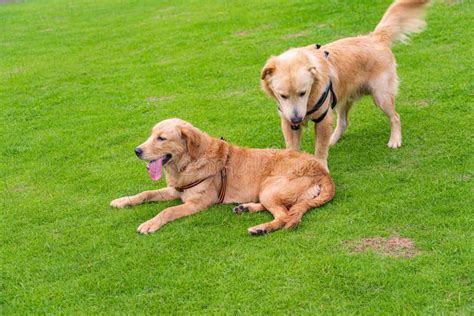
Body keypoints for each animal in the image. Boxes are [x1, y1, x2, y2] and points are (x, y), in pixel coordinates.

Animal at [111, 118, 336, 235]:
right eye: (151, 135)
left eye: (161, 138)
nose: (137, 151)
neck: (190, 161)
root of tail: (323, 172)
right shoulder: (175, 190)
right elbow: (145, 193)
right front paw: (122, 200)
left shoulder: (197, 203)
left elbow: (167, 211)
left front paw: (150, 223)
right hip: (266, 191)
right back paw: (245, 208)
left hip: (270, 187)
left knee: (284, 216)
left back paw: (261, 228)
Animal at [262, 0, 432, 170]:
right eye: (282, 96)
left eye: (303, 92)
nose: (297, 119)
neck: (310, 98)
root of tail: (374, 38)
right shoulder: (288, 122)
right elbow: (292, 148)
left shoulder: (323, 119)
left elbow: (320, 149)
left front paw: (321, 166)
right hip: (341, 99)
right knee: (343, 122)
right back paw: (333, 139)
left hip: (381, 96)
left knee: (395, 117)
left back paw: (395, 139)